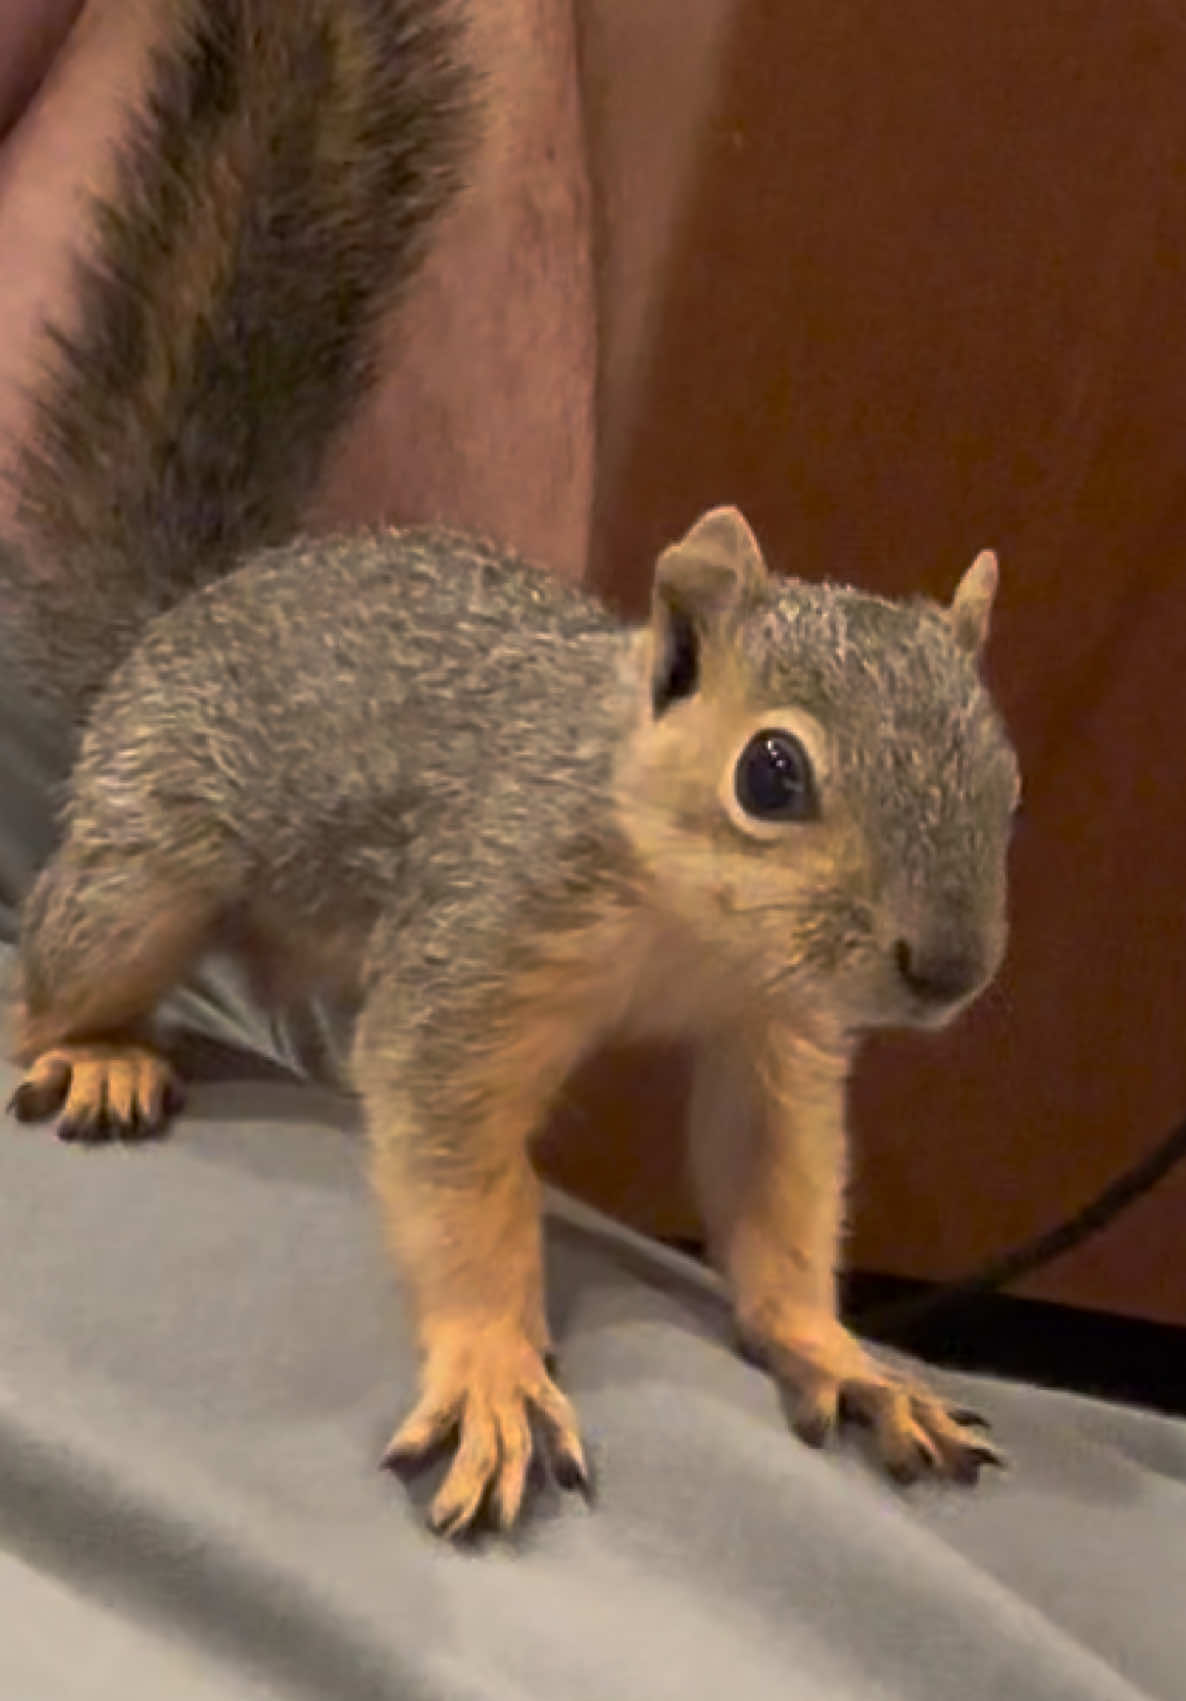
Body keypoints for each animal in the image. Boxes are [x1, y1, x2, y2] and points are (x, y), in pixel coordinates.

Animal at [0, 0, 1019, 1537]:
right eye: (771, 775)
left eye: (1007, 780)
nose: (945, 970)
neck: (685, 922)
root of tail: (181, 613)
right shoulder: (484, 941)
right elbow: (457, 1161)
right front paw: (490, 1364)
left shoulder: (770, 1035)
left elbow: (774, 1191)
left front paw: (839, 1351)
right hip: (147, 851)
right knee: (54, 963)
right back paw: (95, 1053)